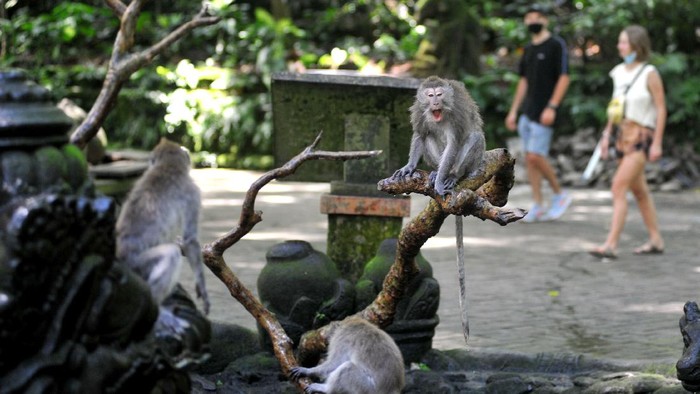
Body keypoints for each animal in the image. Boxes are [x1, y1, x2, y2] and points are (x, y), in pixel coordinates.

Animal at [116, 139, 209, 330]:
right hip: (137, 265)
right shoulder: (193, 192)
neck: (168, 166)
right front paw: (202, 286)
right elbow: (190, 239)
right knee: (171, 254)